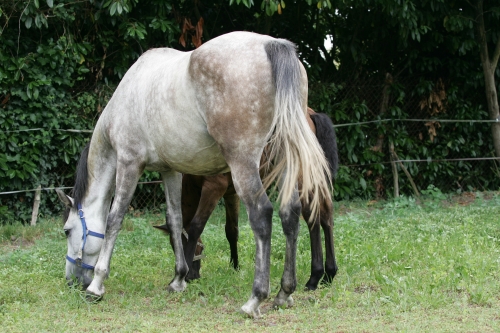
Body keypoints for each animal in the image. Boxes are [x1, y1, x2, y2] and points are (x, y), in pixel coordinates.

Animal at [156, 107, 340, 290]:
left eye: (179, 245)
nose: (192, 275)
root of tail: (310, 113)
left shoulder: (213, 188)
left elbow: (196, 226)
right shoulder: (231, 194)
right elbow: (231, 230)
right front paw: (235, 266)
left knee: (312, 216)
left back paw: (315, 276)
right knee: (326, 214)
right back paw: (329, 273)